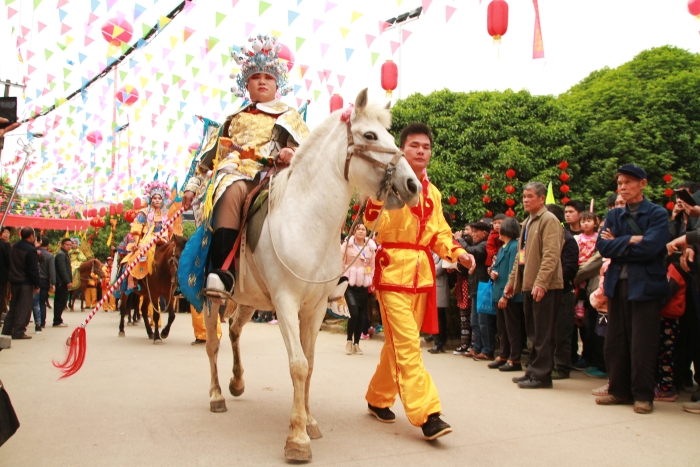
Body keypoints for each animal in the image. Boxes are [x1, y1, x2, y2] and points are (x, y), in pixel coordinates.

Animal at [202, 89, 422, 462]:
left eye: (393, 137)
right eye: (370, 135)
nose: (412, 185)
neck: (308, 222)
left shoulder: (316, 307)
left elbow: (312, 362)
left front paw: (310, 421)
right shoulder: (286, 303)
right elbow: (298, 365)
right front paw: (297, 437)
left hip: (248, 300)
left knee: (233, 330)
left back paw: (237, 382)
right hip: (212, 298)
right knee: (214, 341)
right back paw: (217, 395)